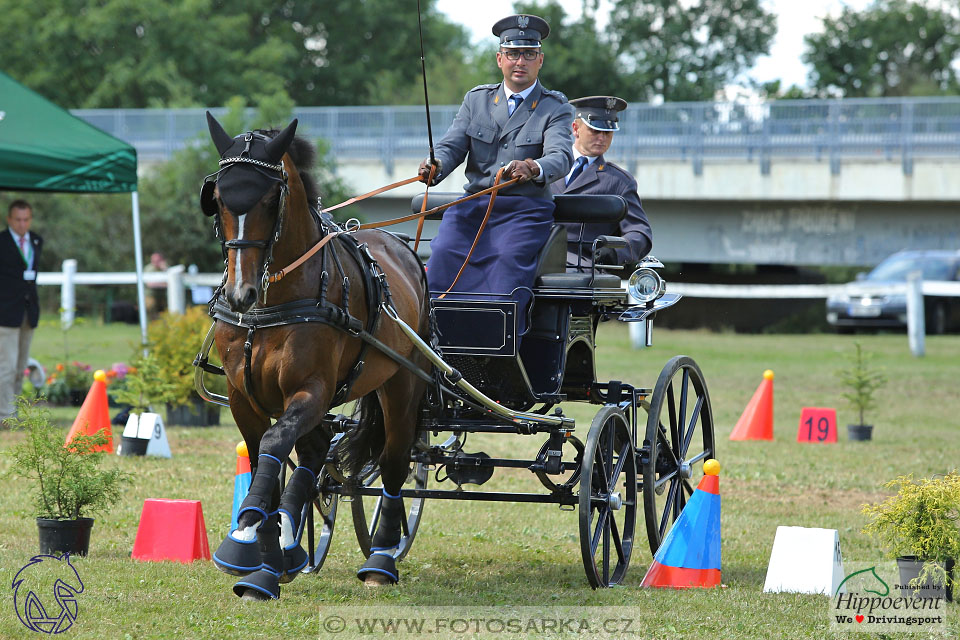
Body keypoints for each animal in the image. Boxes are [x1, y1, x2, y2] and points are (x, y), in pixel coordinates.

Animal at [202, 112, 432, 596]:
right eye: (218, 198)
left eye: (269, 198)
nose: (240, 294)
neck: (272, 303)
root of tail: (404, 247)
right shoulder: (242, 396)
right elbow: (264, 459)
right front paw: (264, 554)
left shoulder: (312, 389)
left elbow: (275, 444)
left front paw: (248, 532)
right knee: (315, 449)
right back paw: (292, 546)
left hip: (401, 384)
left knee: (395, 461)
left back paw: (382, 557)